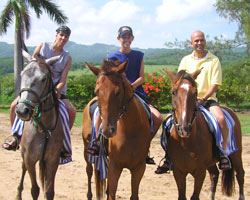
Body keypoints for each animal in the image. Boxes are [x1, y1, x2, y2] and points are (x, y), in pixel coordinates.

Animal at [14, 50, 64, 200]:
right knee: (23, 168)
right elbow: (34, 190)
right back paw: (18, 193)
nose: (22, 110)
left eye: (43, 79)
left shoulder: (52, 160)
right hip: (24, 155)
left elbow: (49, 191)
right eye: (22, 74)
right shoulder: (30, 159)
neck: (44, 129)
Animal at [81, 59, 154, 200]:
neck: (131, 130)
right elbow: (111, 194)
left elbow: (133, 195)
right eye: (96, 91)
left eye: (118, 91)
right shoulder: (115, 167)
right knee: (89, 170)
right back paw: (89, 195)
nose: (108, 130)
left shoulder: (139, 168)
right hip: (86, 148)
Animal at [165, 69, 245, 200]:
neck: (186, 143)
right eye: (173, 92)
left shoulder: (200, 171)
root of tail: (230, 111)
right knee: (214, 175)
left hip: (236, 154)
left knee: (240, 175)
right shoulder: (178, 171)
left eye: (195, 92)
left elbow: (194, 196)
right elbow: (182, 195)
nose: (184, 129)